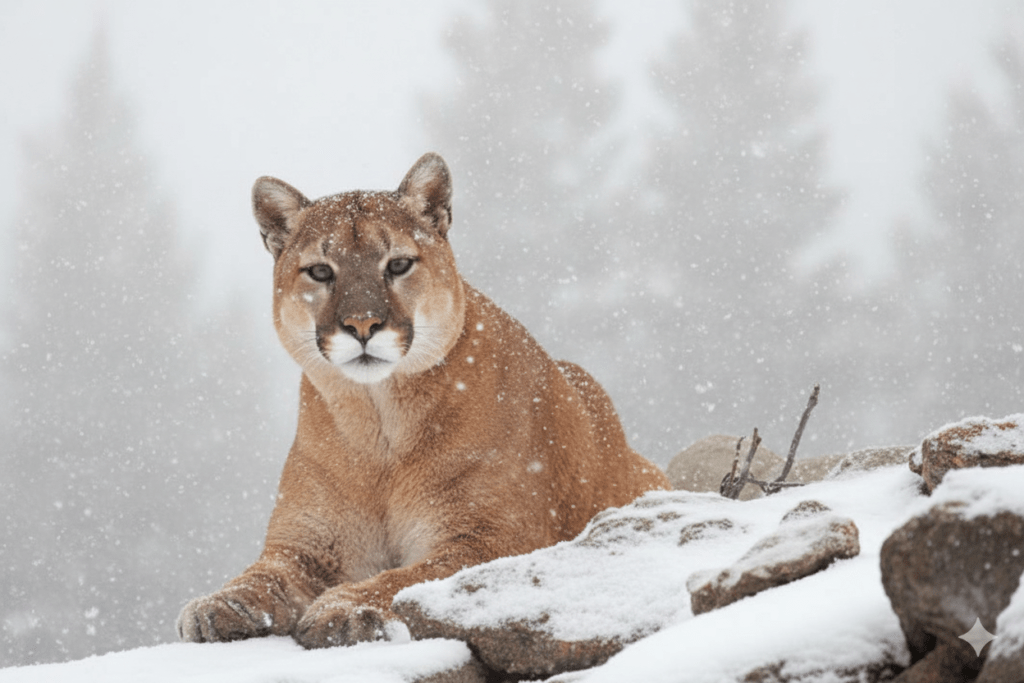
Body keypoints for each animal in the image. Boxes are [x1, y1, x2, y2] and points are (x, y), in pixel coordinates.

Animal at [176, 153, 669, 648]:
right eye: (320, 271)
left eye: (398, 264)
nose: (361, 324)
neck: (379, 426)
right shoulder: (304, 545)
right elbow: (259, 576)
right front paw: (219, 605)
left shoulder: (493, 538)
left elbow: (411, 578)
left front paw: (344, 607)